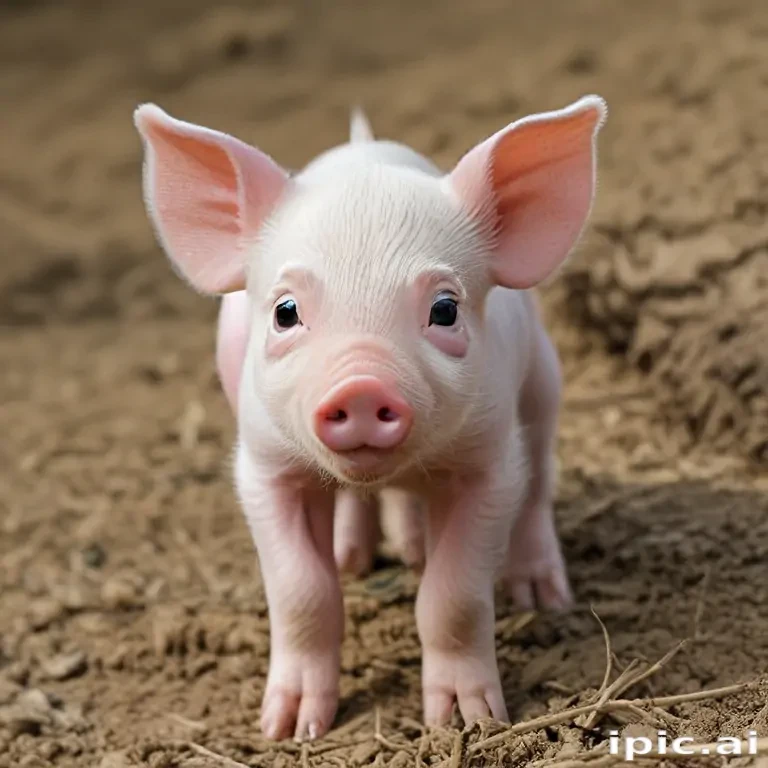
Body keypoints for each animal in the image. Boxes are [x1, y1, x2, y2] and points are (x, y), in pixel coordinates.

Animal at [134, 94, 607, 741]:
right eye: (285, 312)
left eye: (445, 309)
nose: (360, 385)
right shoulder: (263, 468)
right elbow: (302, 592)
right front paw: (289, 729)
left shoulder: (489, 467)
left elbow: (453, 595)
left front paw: (464, 722)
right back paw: (355, 558)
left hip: (543, 382)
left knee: (535, 490)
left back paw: (537, 596)